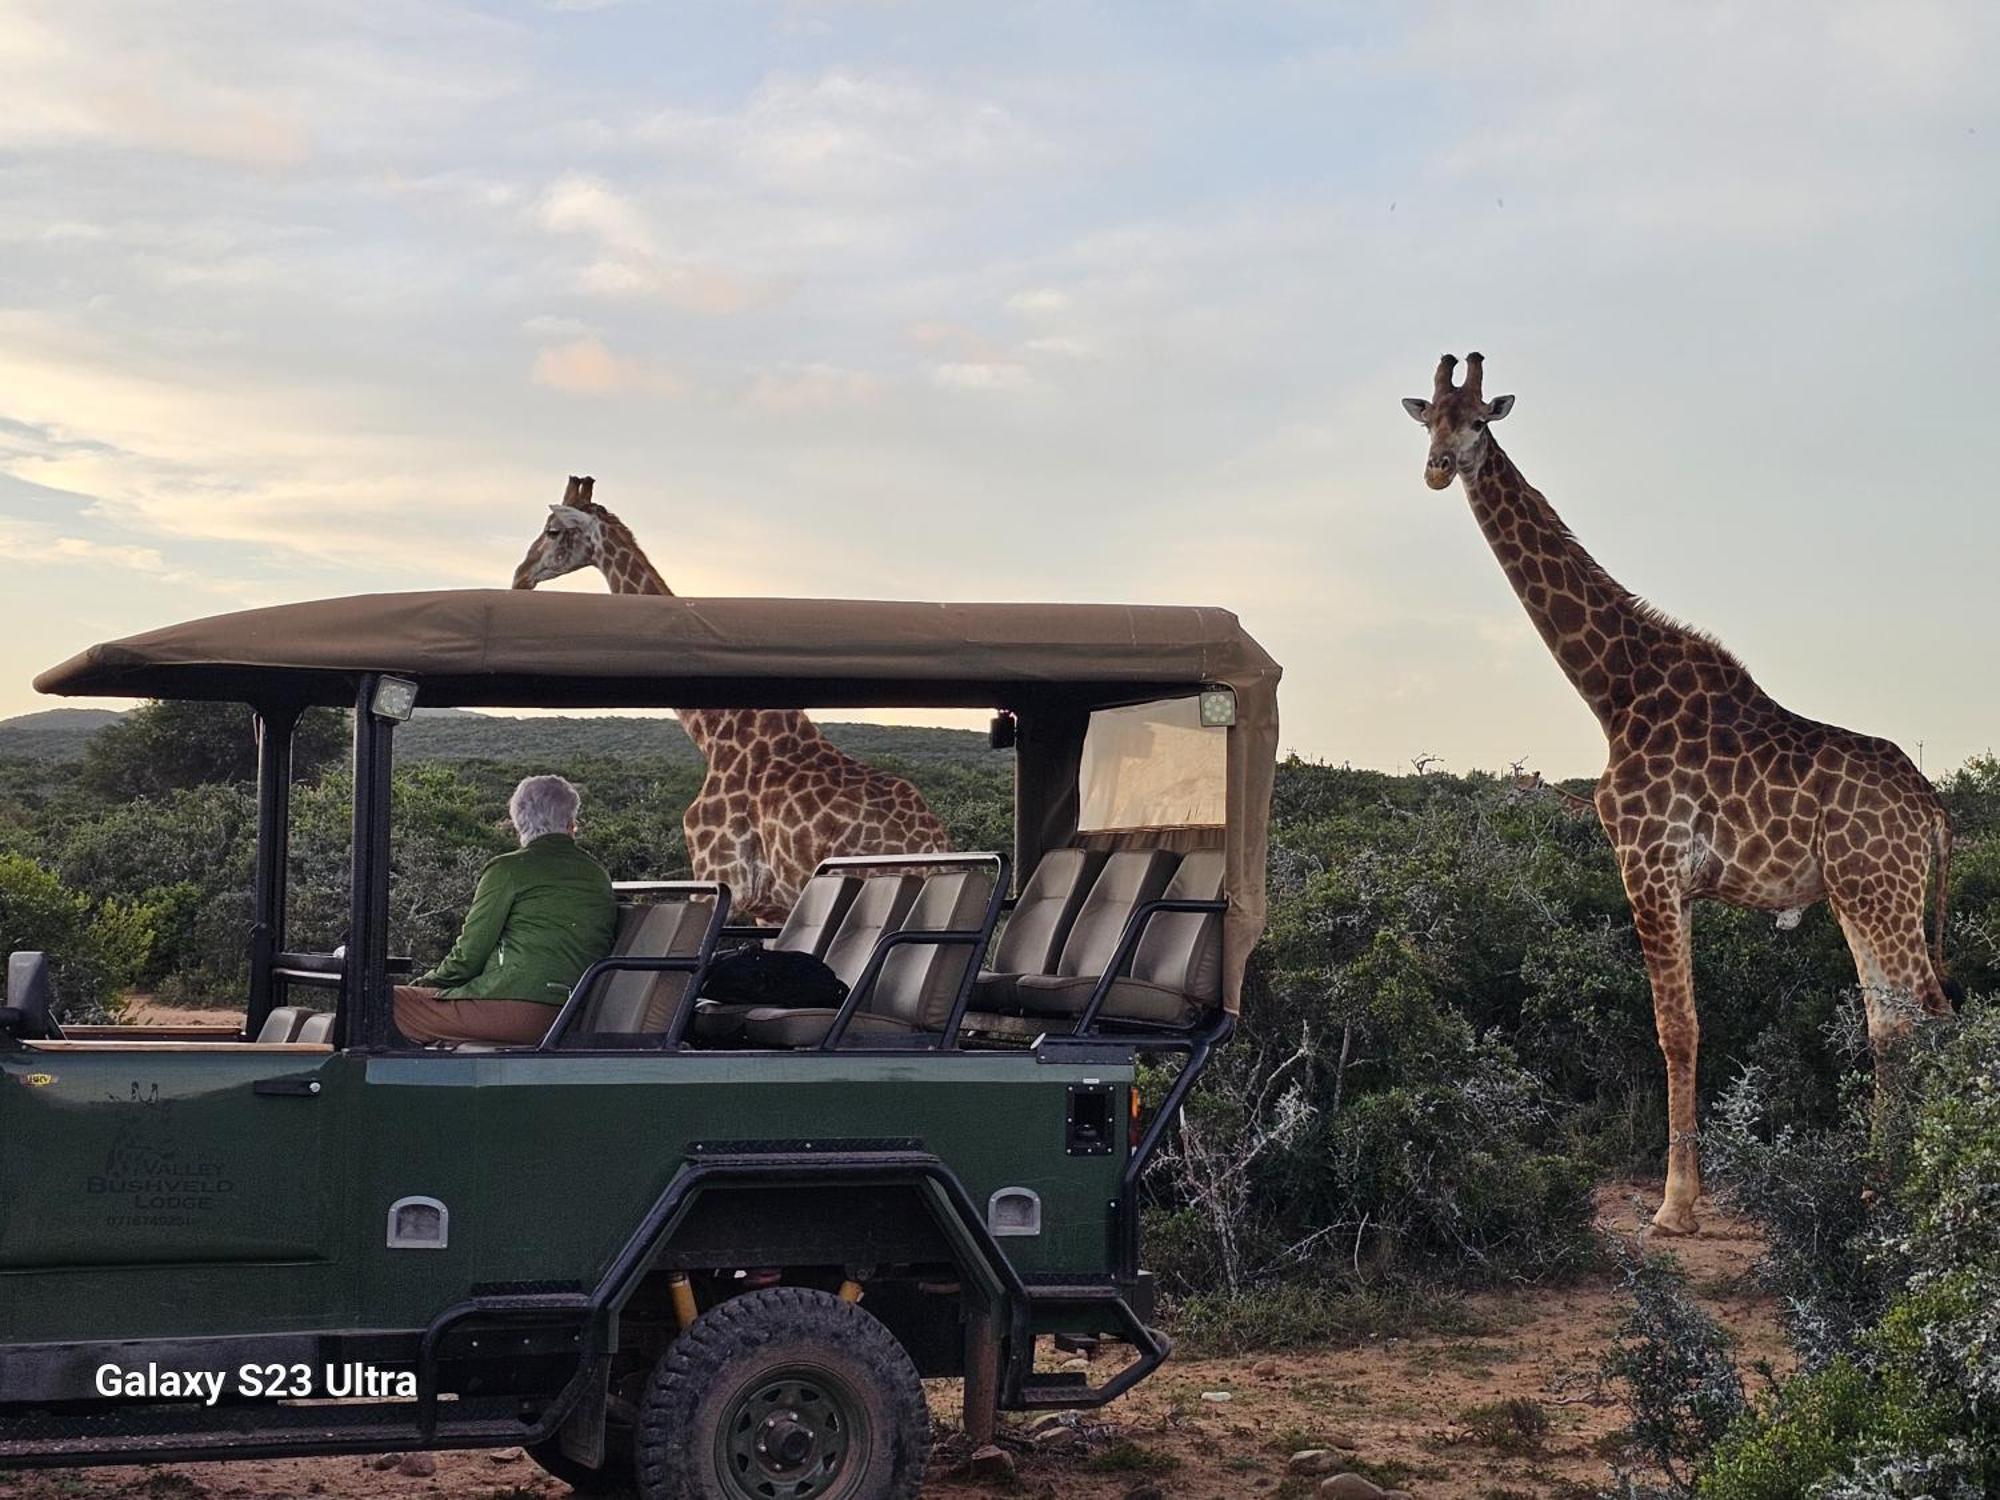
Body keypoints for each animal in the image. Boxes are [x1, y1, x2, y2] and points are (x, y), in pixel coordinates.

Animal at [504, 476, 948, 924]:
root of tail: (934, 847)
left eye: (553, 531)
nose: (520, 576)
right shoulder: (771, 905)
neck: (717, 732)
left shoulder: (717, 875)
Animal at [1408, 358, 1952, 1240]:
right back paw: (1876, 1192)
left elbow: (1673, 1030)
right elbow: (1691, 1026)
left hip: (1880, 890)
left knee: (1932, 1016)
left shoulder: (1647, 865)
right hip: (1861, 894)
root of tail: (1933, 809)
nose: (1436, 468)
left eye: (1481, 421)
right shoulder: (1681, 884)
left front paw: (1673, 1207)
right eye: (1429, 420)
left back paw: (1913, 1201)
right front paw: (1684, 1197)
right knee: (1892, 1024)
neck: (1614, 692)